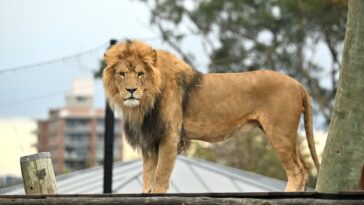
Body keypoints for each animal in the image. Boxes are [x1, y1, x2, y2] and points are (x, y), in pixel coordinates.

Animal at [101, 39, 318, 192]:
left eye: (140, 74)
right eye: (122, 74)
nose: (130, 90)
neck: (144, 104)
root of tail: (298, 84)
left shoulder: (169, 136)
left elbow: (160, 175)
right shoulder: (150, 139)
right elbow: (147, 175)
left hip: (280, 133)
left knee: (297, 171)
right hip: (287, 134)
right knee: (304, 168)